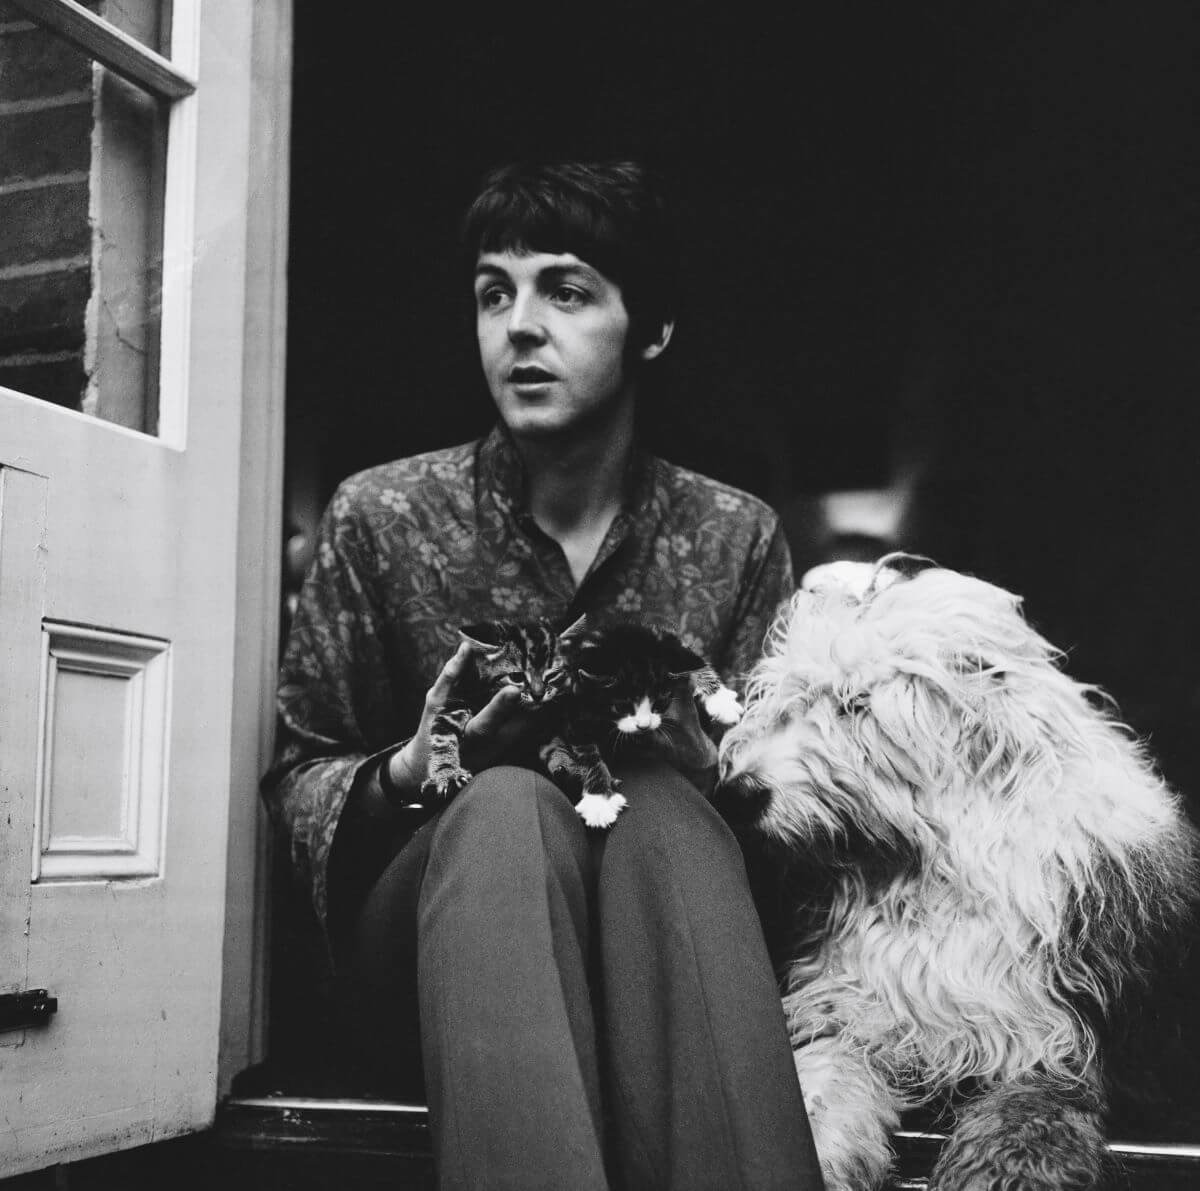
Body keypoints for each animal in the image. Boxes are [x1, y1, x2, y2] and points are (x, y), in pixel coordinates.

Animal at [542, 624, 739, 826]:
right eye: (621, 705)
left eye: (661, 700)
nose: (644, 726)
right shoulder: (575, 703)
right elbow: (585, 748)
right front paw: (599, 801)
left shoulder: (666, 641)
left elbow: (695, 660)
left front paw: (722, 701)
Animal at [715, 557, 1195, 1191]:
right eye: (787, 702)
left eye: (855, 703)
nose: (740, 791)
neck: (926, 870)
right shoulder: (850, 1002)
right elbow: (823, 1077)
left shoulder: (1053, 1037)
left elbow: (1026, 1119)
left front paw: (1001, 1171)